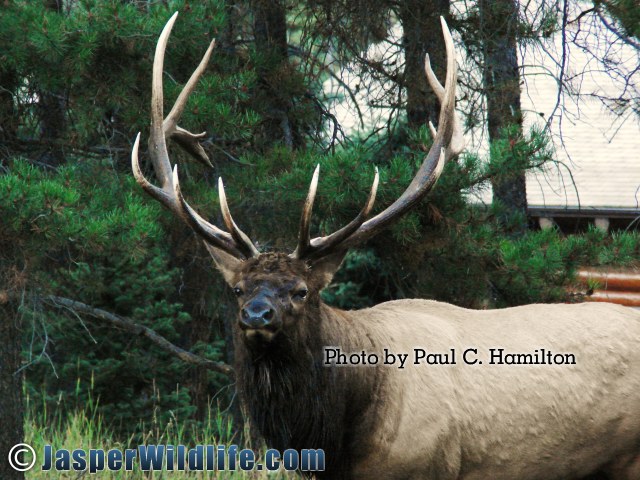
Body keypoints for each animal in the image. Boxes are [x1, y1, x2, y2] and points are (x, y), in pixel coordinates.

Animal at [131, 12, 640, 480]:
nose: (257, 315)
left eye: (302, 291)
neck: (338, 438)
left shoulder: (424, 466)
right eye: (237, 289)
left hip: (628, 458)